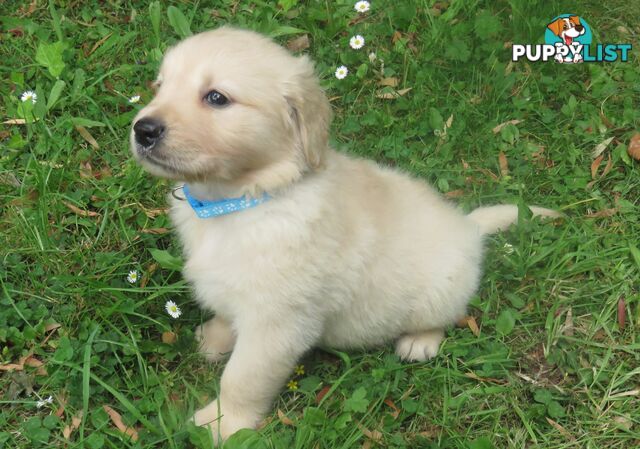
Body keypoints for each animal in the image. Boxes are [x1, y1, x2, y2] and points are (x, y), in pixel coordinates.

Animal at [130, 27, 556, 440]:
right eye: (160, 86)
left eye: (216, 97)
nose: (142, 129)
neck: (246, 199)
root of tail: (467, 227)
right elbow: (223, 313)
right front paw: (214, 339)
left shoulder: (277, 324)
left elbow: (242, 379)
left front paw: (221, 424)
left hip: (440, 291)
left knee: (445, 316)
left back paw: (419, 341)